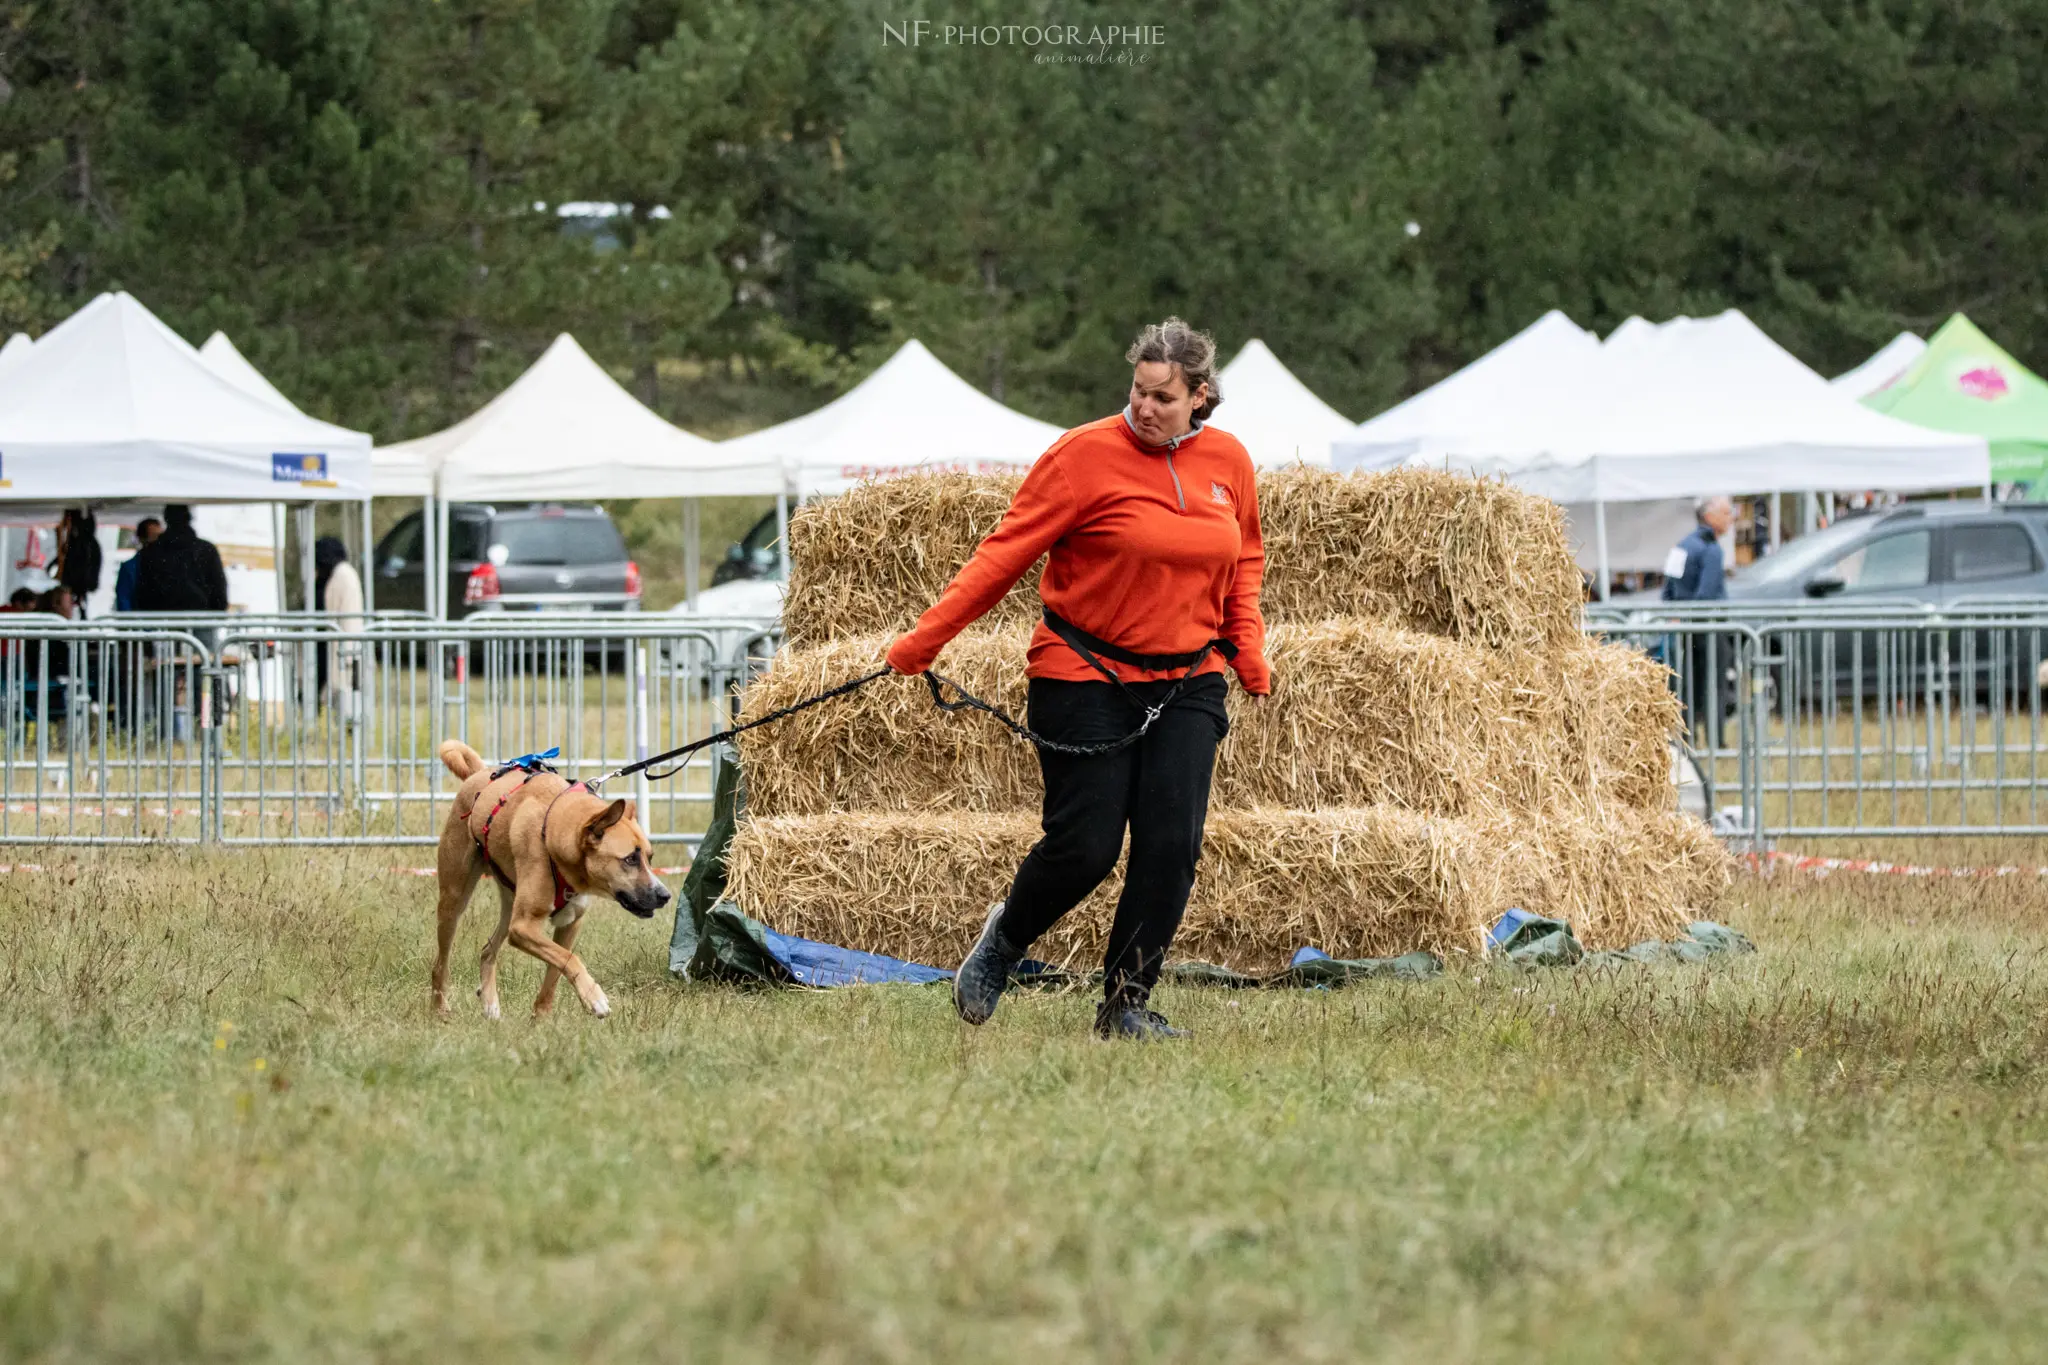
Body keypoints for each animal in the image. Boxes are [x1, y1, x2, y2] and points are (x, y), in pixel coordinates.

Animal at [432, 740, 671, 1019]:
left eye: (649, 857)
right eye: (630, 859)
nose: (665, 896)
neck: (554, 831)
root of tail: (479, 774)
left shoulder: (569, 924)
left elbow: (556, 969)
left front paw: (542, 1019)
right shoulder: (523, 928)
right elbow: (568, 958)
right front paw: (595, 998)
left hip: (510, 903)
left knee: (487, 950)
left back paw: (491, 1005)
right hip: (454, 898)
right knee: (440, 964)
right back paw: (439, 1010)